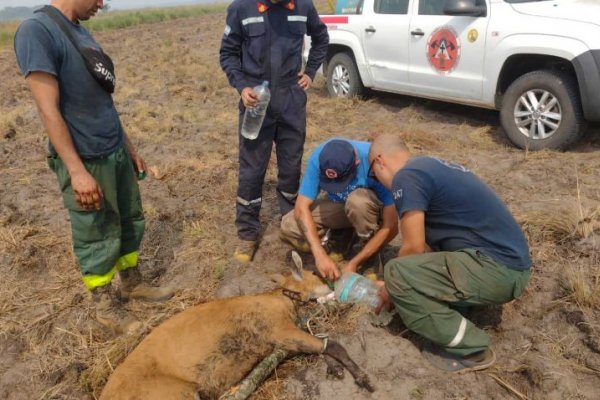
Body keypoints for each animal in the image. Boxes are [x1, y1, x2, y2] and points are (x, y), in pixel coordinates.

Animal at [100, 260, 372, 398]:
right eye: (315, 271)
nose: (334, 278)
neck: (281, 298)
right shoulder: (279, 329)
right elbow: (332, 343)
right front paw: (362, 378)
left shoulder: (283, 339)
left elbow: (322, 344)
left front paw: (337, 370)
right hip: (176, 394)